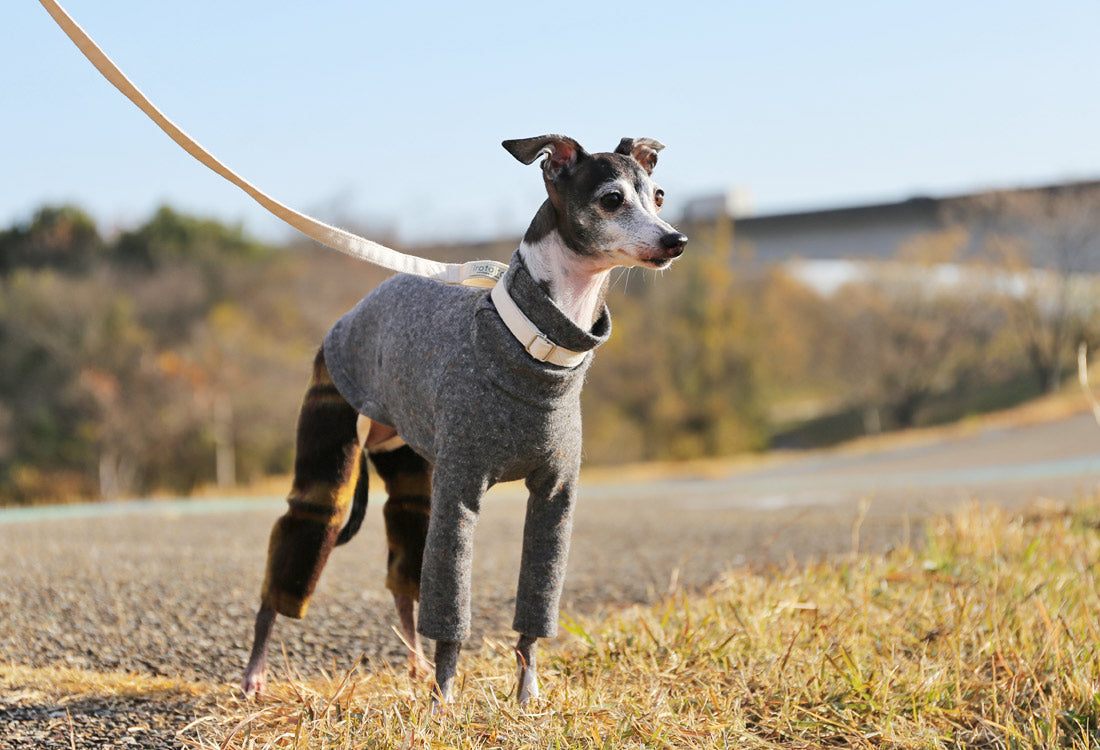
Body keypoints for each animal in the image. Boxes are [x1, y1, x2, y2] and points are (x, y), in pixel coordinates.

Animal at [240, 135, 686, 708]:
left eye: (659, 194)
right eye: (612, 198)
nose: (676, 240)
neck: (535, 346)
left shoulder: (554, 499)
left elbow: (533, 612)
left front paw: (526, 697)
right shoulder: (459, 495)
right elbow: (451, 614)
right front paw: (444, 702)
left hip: (412, 477)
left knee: (404, 577)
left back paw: (413, 663)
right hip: (332, 463)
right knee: (291, 560)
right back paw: (255, 673)